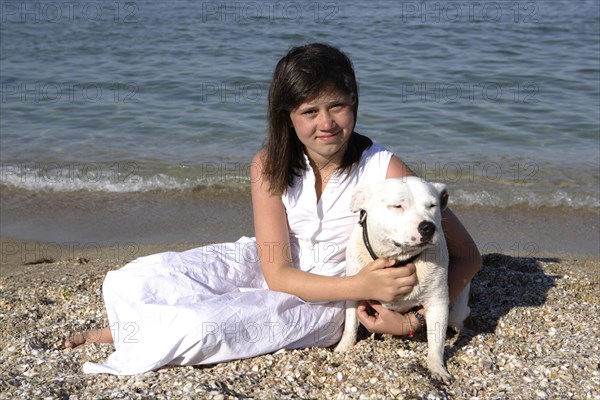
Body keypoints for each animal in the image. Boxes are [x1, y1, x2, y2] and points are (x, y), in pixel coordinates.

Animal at [336, 177, 472, 382]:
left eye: (432, 205)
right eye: (397, 206)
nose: (428, 226)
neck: (398, 259)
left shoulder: (437, 303)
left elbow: (436, 341)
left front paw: (437, 368)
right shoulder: (354, 292)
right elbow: (350, 326)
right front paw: (343, 347)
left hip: (456, 309)